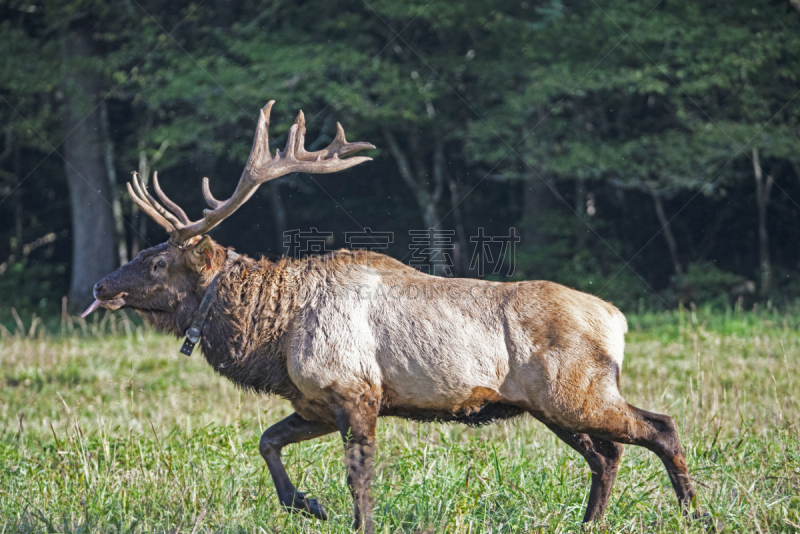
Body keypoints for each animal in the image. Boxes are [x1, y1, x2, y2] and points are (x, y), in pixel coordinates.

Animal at [87, 102, 708, 532]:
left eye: (157, 260)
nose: (100, 286)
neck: (271, 336)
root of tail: (617, 319)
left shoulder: (355, 390)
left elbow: (359, 477)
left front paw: (349, 518)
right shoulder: (315, 402)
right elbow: (267, 441)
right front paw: (308, 504)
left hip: (577, 392)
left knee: (659, 427)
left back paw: (694, 513)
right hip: (552, 406)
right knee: (608, 453)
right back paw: (590, 521)